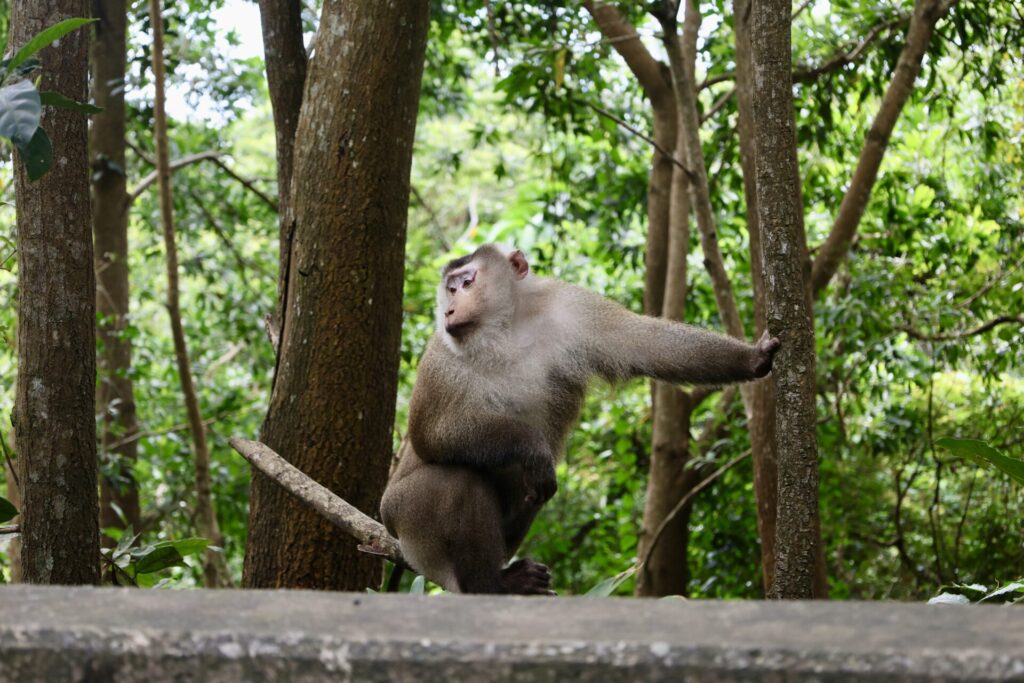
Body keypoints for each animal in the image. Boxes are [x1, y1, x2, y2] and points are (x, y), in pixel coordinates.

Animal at [380, 244, 780, 595]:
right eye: (449, 289)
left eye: (466, 282)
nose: (449, 309)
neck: (505, 330)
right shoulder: (442, 357)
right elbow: (431, 435)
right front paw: (533, 449)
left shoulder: (572, 310)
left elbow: (644, 344)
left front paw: (753, 359)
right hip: (409, 522)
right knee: (456, 480)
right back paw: (491, 584)